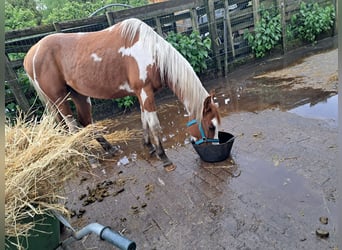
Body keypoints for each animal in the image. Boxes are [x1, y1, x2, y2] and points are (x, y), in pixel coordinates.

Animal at [24, 18, 222, 170]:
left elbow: (144, 120)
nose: (215, 150)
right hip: (60, 99)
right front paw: (163, 157)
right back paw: (91, 159)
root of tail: (31, 54)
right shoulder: (145, 92)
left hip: (79, 95)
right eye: (211, 127)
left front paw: (149, 146)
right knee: (74, 129)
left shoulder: (142, 94)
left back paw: (109, 149)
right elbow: (155, 125)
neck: (152, 53)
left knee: (87, 124)